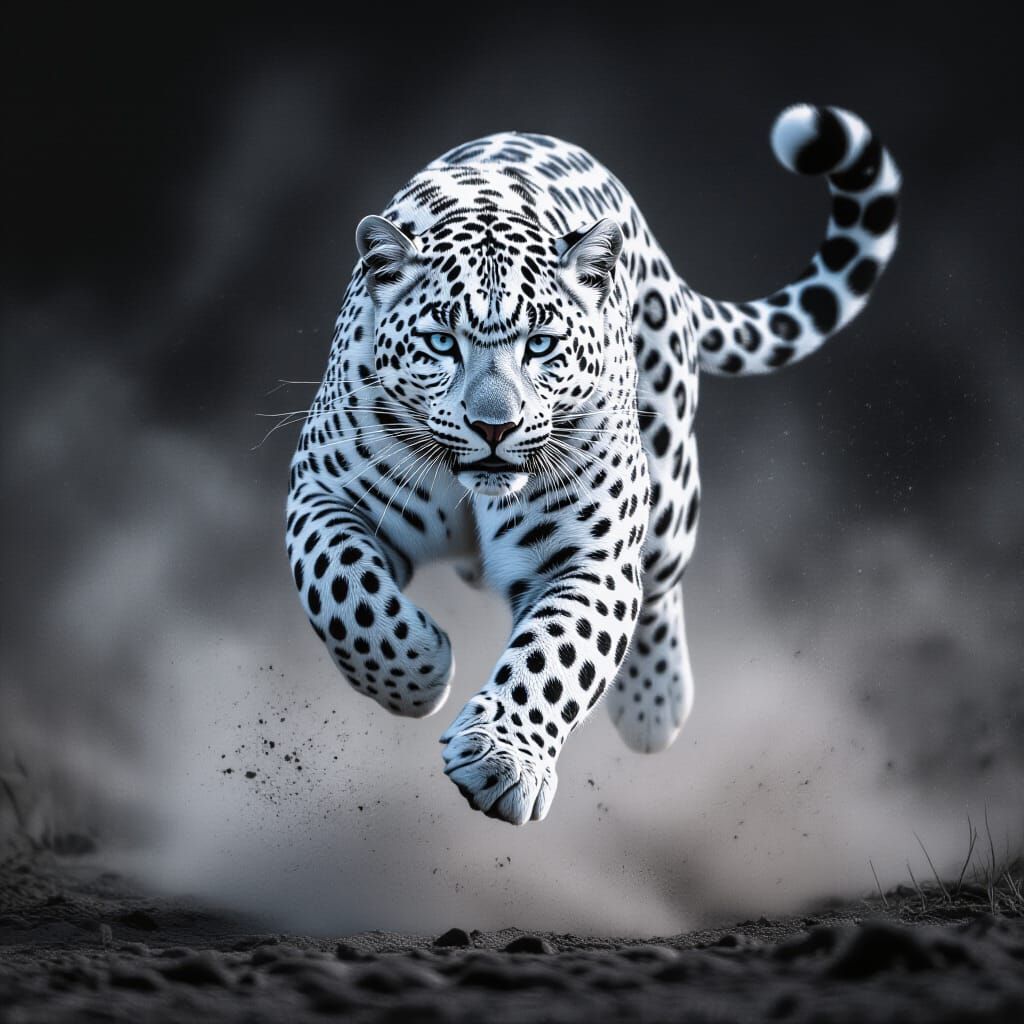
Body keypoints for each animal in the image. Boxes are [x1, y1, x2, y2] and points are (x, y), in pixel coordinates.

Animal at [285, 104, 900, 825]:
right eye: (441, 342)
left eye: (541, 344)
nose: (494, 427)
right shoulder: (323, 493)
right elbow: (344, 593)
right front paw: (418, 671)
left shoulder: (590, 559)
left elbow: (555, 656)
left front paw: (502, 760)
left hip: (669, 482)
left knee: (659, 583)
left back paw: (654, 707)